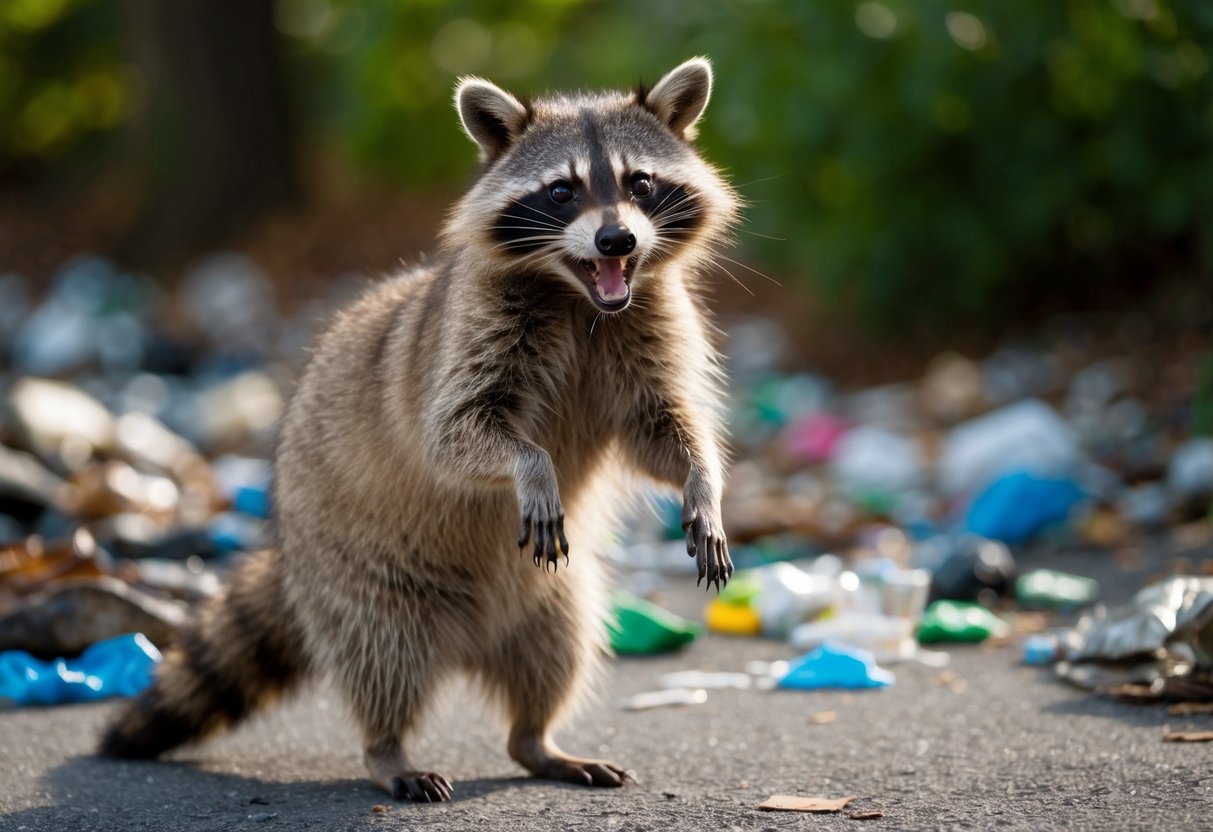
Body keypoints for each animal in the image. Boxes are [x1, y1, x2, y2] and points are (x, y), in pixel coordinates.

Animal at [100, 57, 739, 802]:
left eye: (640, 182)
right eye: (561, 191)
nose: (617, 240)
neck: (580, 296)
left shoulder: (648, 325)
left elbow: (661, 430)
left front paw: (703, 483)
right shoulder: (469, 332)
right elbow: (453, 435)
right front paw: (532, 466)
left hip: (550, 597)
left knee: (559, 650)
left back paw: (538, 740)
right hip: (361, 575)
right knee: (382, 658)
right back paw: (387, 749)